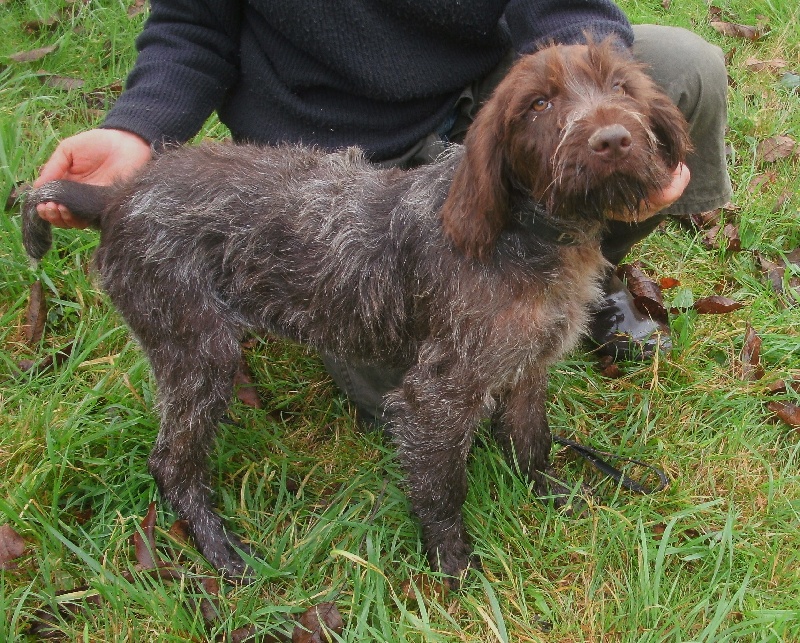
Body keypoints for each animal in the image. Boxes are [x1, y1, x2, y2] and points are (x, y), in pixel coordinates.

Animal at [23, 39, 689, 585]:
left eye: (623, 88)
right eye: (539, 105)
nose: (612, 139)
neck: (528, 235)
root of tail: (115, 196)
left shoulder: (526, 370)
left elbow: (533, 444)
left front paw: (554, 499)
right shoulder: (435, 398)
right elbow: (443, 490)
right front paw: (455, 570)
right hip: (197, 351)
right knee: (171, 464)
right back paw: (222, 554)